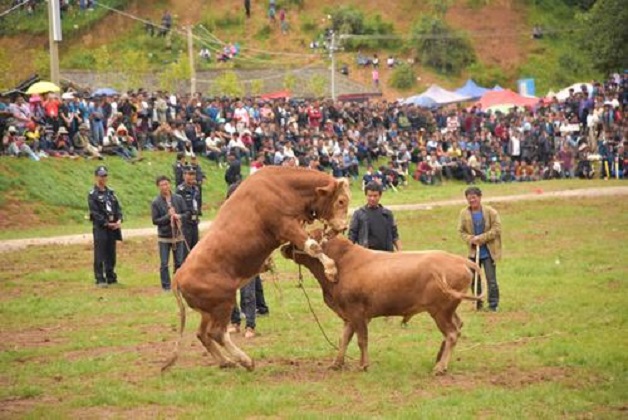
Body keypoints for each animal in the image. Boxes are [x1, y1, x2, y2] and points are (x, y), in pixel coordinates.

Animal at [162, 167, 350, 370]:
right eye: (341, 201)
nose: (344, 227)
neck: (283, 186)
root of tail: (178, 276)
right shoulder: (286, 225)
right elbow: (313, 246)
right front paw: (331, 269)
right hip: (223, 302)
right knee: (217, 333)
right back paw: (245, 360)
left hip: (209, 310)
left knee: (202, 334)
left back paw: (226, 361)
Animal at [282, 235, 484, 376]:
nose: (284, 247)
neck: (342, 263)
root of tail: (458, 259)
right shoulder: (349, 316)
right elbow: (344, 339)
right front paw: (337, 364)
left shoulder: (358, 313)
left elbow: (361, 340)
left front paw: (363, 365)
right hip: (448, 311)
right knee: (457, 326)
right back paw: (439, 359)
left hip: (440, 311)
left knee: (452, 333)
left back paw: (440, 367)